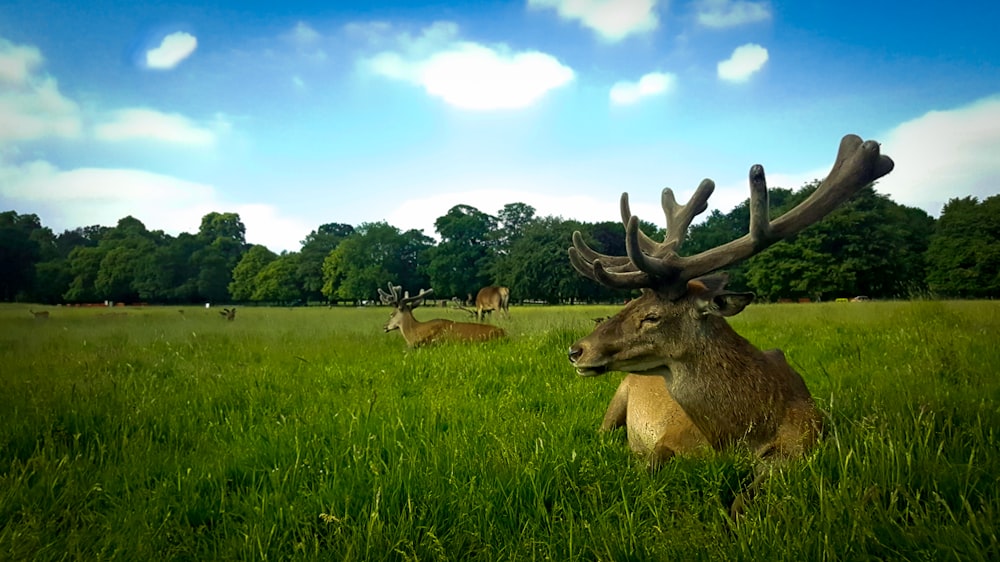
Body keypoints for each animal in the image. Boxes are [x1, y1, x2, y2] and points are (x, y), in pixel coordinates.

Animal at [568, 133, 896, 516]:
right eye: (630, 303)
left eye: (651, 316)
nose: (577, 350)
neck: (736, 437)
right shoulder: (670, 436)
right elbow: (647, 467)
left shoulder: (806, 442)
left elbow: (743, 501)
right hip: (618, 397)